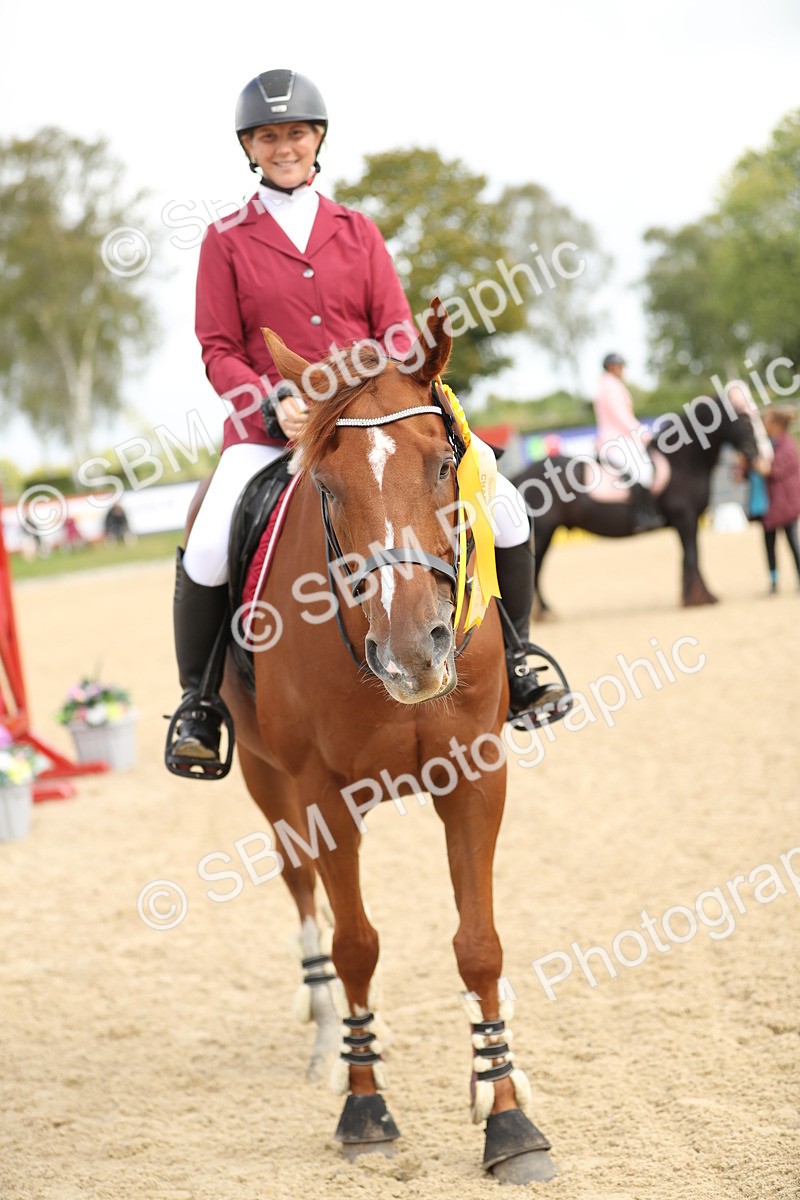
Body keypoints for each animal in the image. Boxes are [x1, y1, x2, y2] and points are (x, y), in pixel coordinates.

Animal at [195, 301, 556, 1184]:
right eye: (326, 487)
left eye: (443, 465)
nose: (413, 652)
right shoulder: (321, 795)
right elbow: (356, 943)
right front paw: (364, 1106)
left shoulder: (476, 776)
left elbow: (479, 945)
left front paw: (505, 1108)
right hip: (267, 780)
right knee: (301, 889)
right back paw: (330, 1034)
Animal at [512, 391, 762, 612]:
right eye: (742, 421)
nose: (755, 455)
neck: (683, 462)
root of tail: (520, 477)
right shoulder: (686, 519)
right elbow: (692, 557)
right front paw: (699, 600)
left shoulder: (687, 522)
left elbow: (689, 558)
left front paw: (697, 597)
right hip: (542, 534)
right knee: (535, 569)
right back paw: (542, 612)